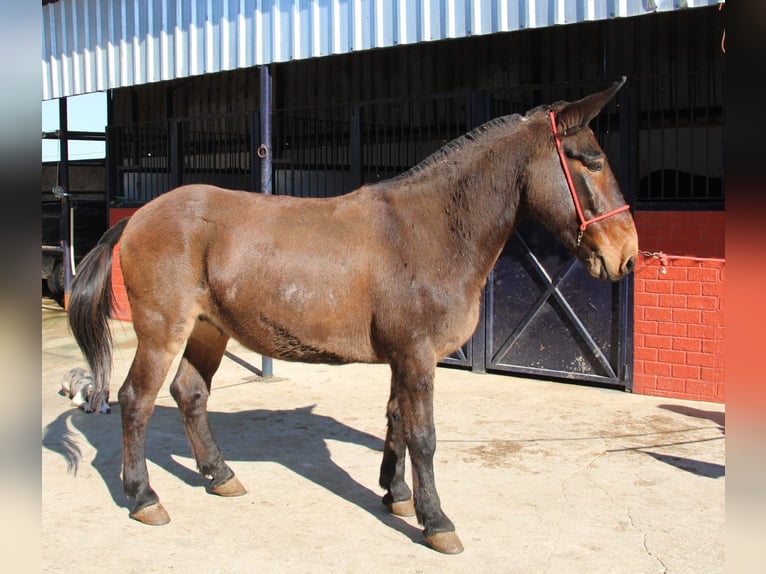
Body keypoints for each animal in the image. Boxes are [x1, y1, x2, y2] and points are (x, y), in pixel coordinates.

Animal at [68, 78, 638, 554]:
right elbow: (424, 436)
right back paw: (144, 497)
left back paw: (219, 475)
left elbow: (396, 421)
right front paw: (436, 522)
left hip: (209, 329)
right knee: (135, 401)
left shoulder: (406, 357)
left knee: (189, 394)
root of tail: (138, 217)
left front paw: (397, 494)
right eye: (590, 161)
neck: (427, 230)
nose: (627, 255)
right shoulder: (416, 356)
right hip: (162, 331)